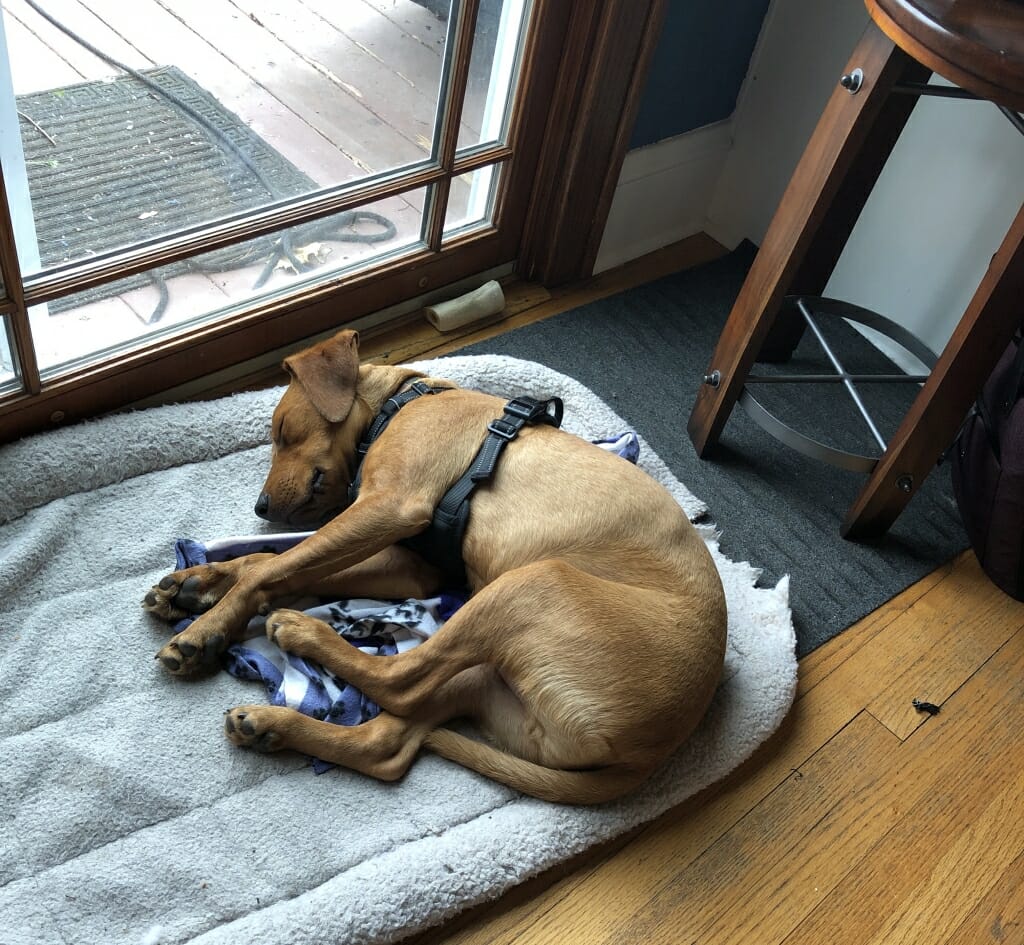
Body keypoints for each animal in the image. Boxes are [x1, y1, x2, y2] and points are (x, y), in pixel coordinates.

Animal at [146, 329, 729, 802]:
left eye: (284, 429)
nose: (261, 508)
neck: (400, 404)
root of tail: (648, 753)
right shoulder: (410, 562)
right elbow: (276, 560)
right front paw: (196, 582)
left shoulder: (391, 507)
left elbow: (274, 567)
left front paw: (205, 629)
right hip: (486, 676)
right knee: (388, 744)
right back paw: (270, 726)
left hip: (532, 584)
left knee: (402, 679)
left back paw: (303, 633)